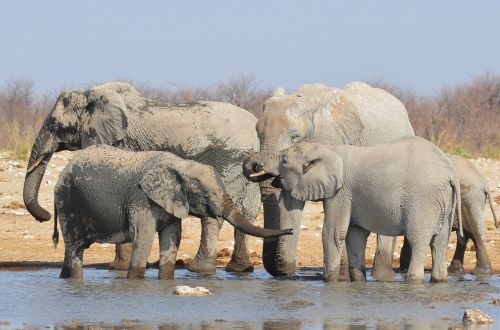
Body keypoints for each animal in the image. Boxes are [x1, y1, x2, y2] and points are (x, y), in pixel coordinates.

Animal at [22, 82, 262, 274]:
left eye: (56, 125)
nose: (45, 215)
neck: (91, 94)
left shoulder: (121, 142)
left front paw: (117, 268)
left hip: (226, 159)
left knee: (213, 215)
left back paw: (199, 269)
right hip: (244, 166)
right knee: (247, 212)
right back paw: (239, 269)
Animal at [52, 146, 292, 280]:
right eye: (205, 194)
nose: (289, 230)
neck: (181, 165)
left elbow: (172, 237)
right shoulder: (141, 199)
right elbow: (143, 236)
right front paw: (134, 283)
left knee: (70, 250)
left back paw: (64, 279)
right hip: (68, 202)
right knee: (75, 248)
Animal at [276, 137, 462, 284]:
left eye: (284, 161)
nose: (276, 181)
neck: (326, 148)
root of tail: (451, 173)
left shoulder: (341, 192)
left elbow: (333, 232)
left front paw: (329, 282)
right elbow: (355, 235)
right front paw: (358, 282)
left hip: (423, 200)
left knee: (418, 239)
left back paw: (413, 281)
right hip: (444, 202)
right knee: (440, 242)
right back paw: (439, 281)